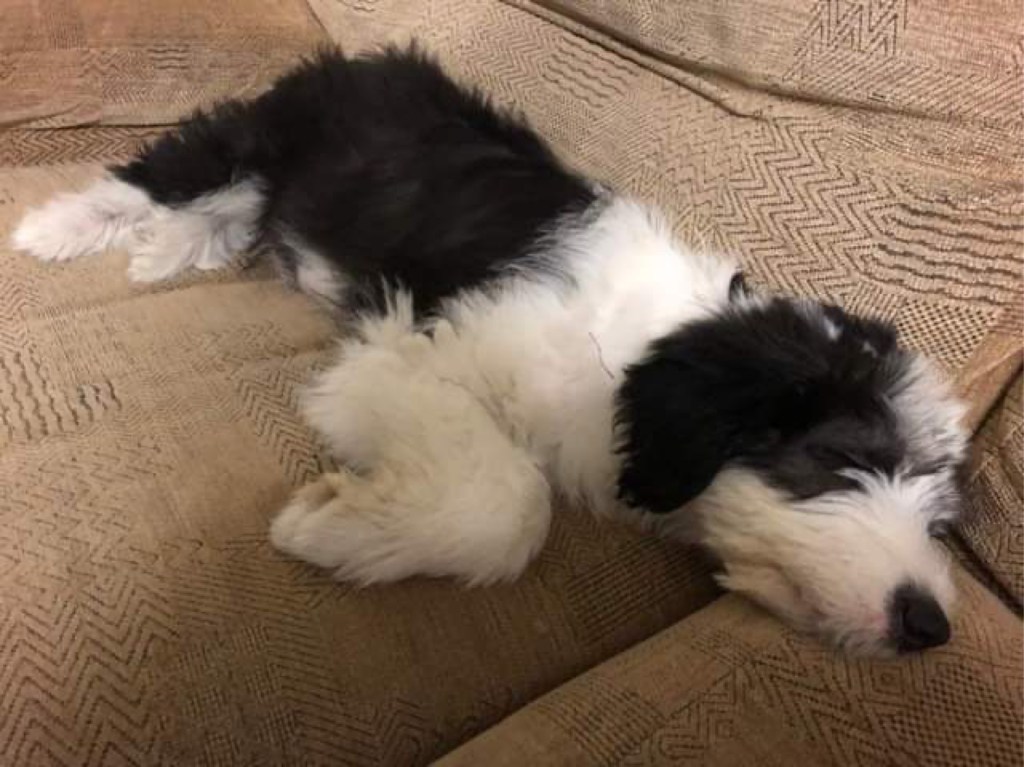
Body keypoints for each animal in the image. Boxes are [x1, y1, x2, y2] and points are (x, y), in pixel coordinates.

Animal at [11, 45, 969, 655]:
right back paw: (53, 232)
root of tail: (363, 59)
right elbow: (509, 505)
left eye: (939, 520)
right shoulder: (412, 355)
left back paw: (175, 249)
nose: (930, 627)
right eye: (843, 460)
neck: (629, 351)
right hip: (254, 136)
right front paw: (330, 526)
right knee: (159, 175)